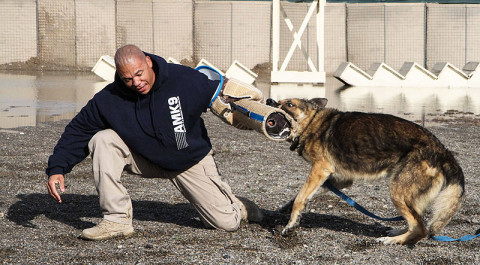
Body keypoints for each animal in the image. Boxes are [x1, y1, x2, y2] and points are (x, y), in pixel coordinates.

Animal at [266, 97, 464, 243]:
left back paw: (394, 241)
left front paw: (290, 224)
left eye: (289, 104)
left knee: (420, 228)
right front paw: (288, 209)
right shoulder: (338, 179)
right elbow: (303, 196)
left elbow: (300, 197)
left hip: (398, 192)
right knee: (416, 221)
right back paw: (398, 233)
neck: (314, 123)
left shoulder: (320, 169)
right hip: (408, 196)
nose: (269, 100)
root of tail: (442, 151)